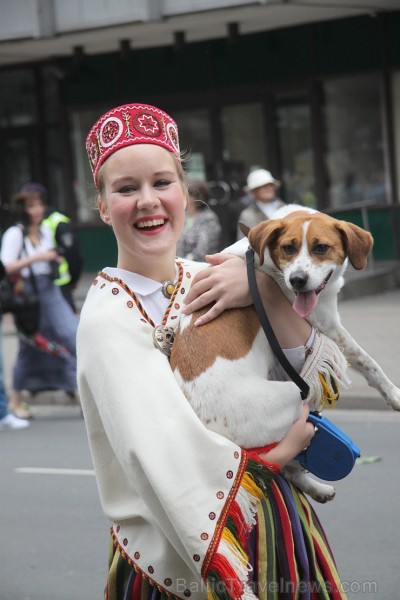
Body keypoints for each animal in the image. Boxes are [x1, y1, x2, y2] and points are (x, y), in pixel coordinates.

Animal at [170, 206, 400, 502]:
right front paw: (394, 394)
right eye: (288, 247)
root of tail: (201, 429)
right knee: (286, 461)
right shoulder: (327, 325)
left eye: (321, 248)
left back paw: (317, 489)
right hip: (292, 396)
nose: (297, 280)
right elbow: (367, 361)